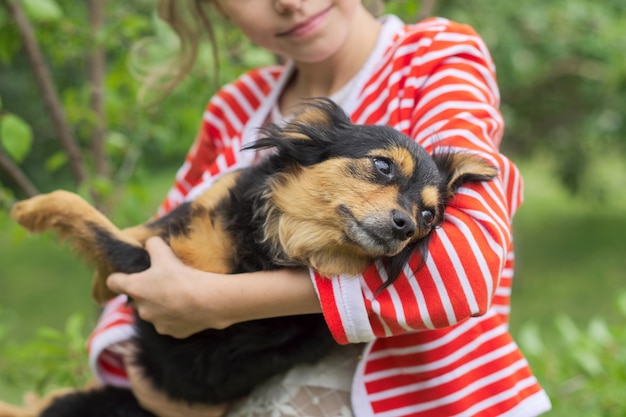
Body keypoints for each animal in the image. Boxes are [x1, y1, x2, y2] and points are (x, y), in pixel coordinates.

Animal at [3, 99, 492, 414]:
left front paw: (31, 210)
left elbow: (87, 217)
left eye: (428, 215)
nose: (406, 226)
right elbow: (128, 225)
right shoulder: (181, 222)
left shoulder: (152, 267)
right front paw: (99, 282)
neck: (272, 236)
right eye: (383, 166)